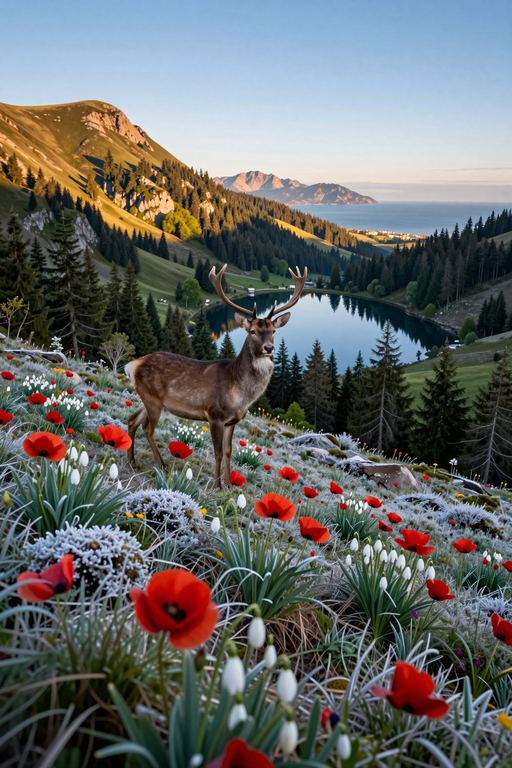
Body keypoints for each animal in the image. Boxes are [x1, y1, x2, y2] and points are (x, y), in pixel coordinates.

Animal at [125, 263, 307, 487]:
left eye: (273, 330)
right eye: (253, 331)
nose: (269, 348)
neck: (239, 393)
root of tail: (133, 365)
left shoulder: (232, 421)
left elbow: (229, 452)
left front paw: (229, 484)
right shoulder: (214, 414)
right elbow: (218, 452)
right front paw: (217, 484)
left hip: (147, 398)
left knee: (132, 420)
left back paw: (132, 462)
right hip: (153, 399)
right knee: (147, 428)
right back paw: (162, 465)